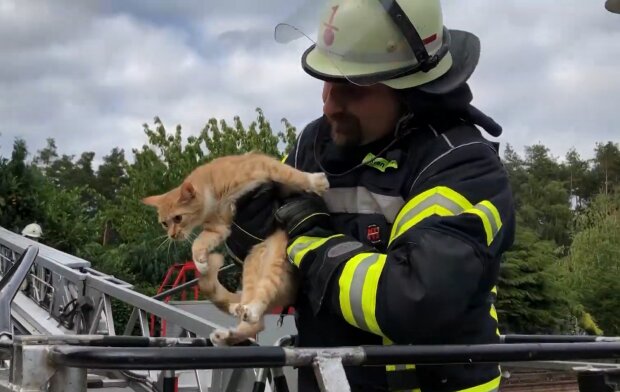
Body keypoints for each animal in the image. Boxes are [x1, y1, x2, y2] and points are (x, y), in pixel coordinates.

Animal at [142, 152, 330, 344]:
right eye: (165, 223)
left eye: (178, 218)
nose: (172, 235)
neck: (213, 194)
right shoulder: (218, 227)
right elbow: (198, 242)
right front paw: (200, 261)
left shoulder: (262, 164)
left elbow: (291, 173)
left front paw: (315, 181)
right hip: (251, 269)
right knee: (255, 323)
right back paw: (229, 329)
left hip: (272, 261)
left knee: (263, 297)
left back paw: (247, 312)